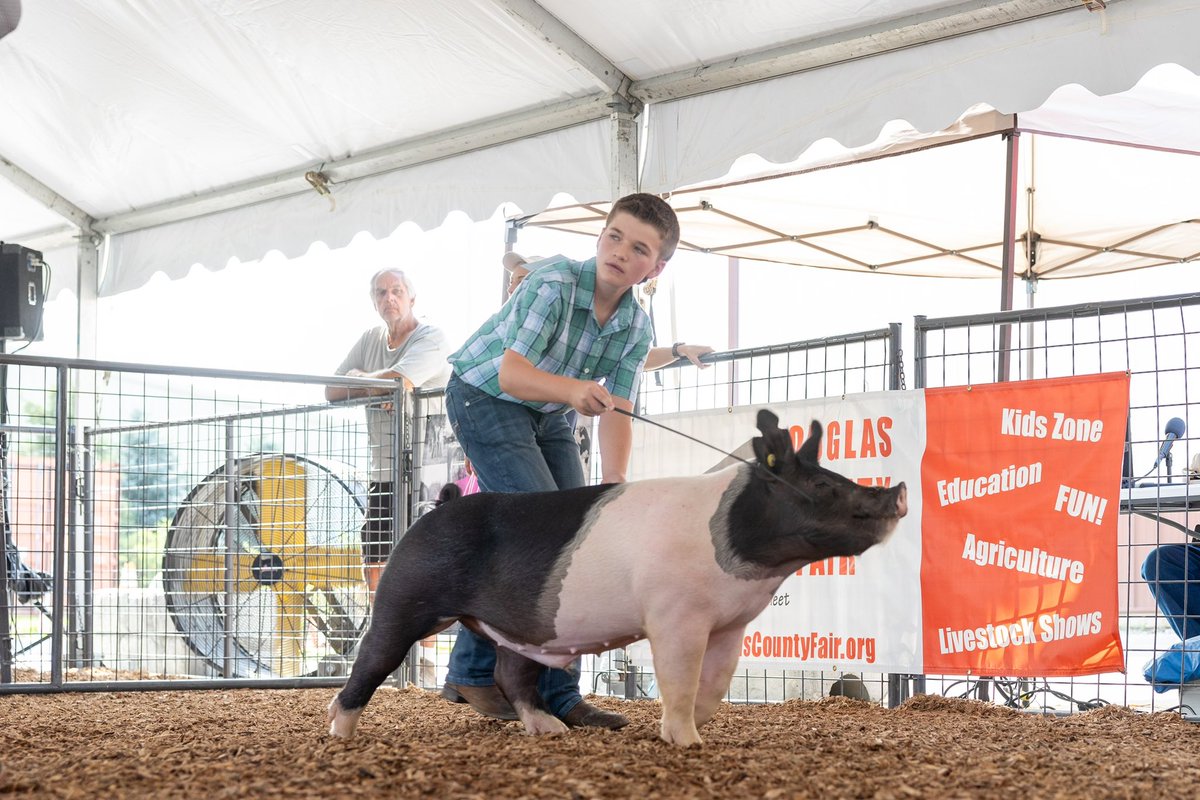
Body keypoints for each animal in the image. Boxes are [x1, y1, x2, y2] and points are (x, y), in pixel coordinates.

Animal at [327, 410, 907, 746]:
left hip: (523, 629)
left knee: (512, 675)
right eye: (822, 485)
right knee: (368, 664)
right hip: (405, 599)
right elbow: (679, 679)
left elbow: (716, 683)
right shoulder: (675, 616)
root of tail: (441, 504)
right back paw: (339, 734)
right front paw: (686, 742)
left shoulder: (730, 625)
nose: (897, 490)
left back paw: (551, 730)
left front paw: (696, 731)